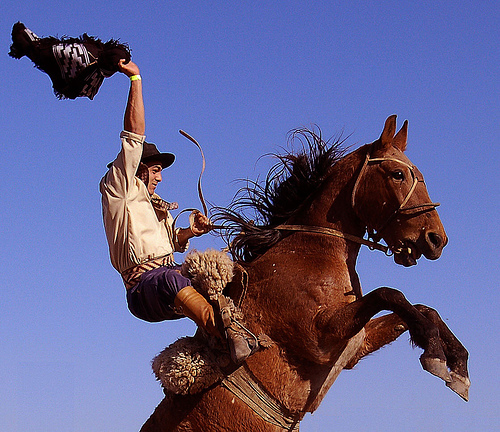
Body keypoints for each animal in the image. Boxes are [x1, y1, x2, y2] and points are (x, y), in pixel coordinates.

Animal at [141, 115, 468, 432]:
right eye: (398, 174)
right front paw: (435, 353)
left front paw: (458, 366)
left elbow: (422, 309)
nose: (436, 239)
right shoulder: (318, 337)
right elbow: (391, 294)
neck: (313, 250)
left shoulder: (355, 345)